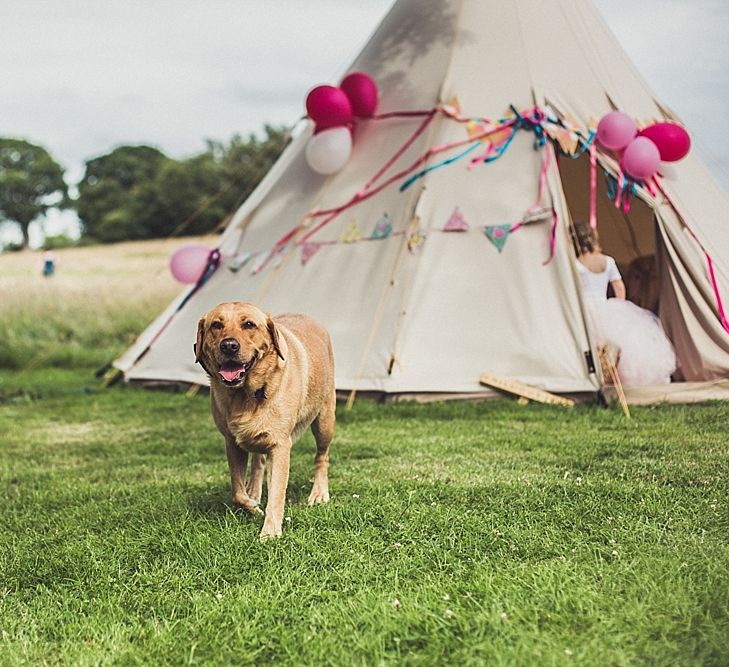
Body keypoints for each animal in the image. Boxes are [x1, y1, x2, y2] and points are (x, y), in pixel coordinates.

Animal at [196, 302, 338, 544]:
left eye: (248, 324)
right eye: (216, 325)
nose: (229, 346)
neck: (246, 395)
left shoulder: (280, 446)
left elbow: (277, 493)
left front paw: (270, 531)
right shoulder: (231, 443)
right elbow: (237, 491)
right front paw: (253, 506)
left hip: (324, 422)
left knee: (322, 457)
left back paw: (318, 493)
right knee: (258, 461)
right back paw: (254, 491)